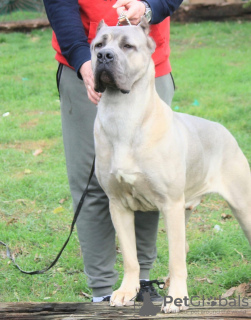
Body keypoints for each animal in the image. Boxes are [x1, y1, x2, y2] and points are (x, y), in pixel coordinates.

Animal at [90, 18, 251, 312]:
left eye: (127, 46)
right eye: (98, 45)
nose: (104, 57)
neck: (124, 114)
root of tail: (225, 130)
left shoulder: (170, 204)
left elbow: (176, 259)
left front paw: (177, 297)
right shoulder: (118, 205)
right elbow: (130, 257)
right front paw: (126, 291)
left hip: (240, 205)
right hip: (184, 209)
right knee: (184, 248)